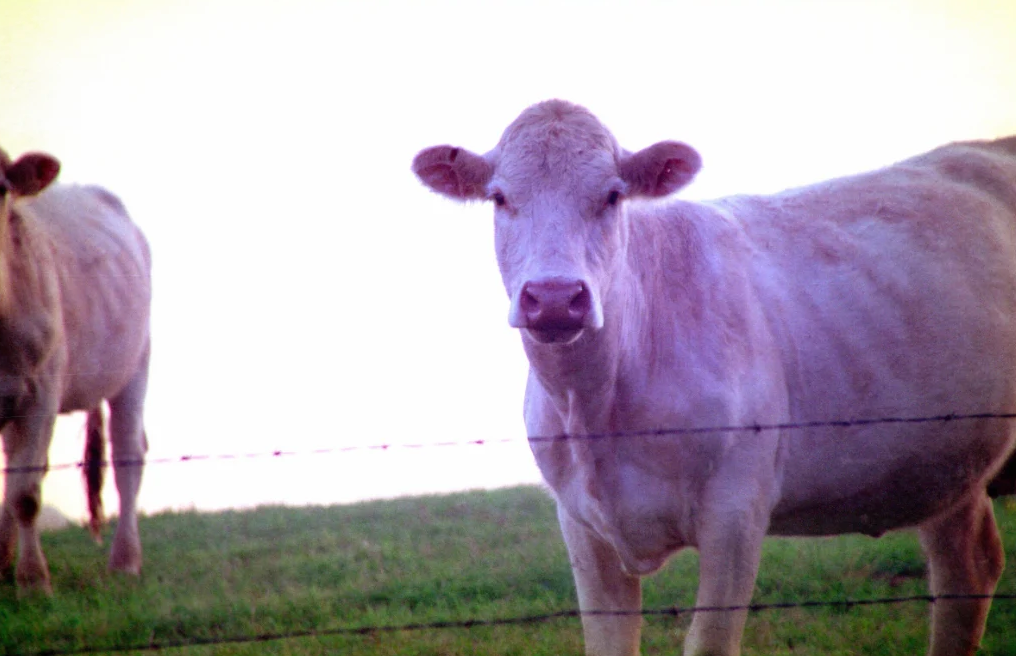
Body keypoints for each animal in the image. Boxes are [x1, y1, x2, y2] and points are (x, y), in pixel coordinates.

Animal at [0, 148, 151, 595]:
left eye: (0, 190)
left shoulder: (41, 392)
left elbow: (26, 492)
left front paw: (34, 581)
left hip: (134, 365)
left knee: (128, 455)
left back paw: (125, 560)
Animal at [413, 100, 1016, 656]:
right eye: (499, 197)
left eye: (612, 195)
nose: (556, 298)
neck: (596, 408)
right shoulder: (581, 524)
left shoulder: (737, 510)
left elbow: (709, 642)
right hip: (946, 462)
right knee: (968, 566)